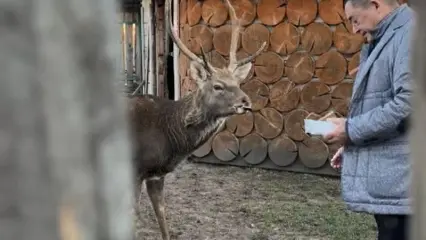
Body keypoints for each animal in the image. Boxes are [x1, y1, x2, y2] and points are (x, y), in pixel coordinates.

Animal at [128, 0, 266, 238]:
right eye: (218, 86)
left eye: (238, 83)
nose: (246, 102)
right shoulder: (135, 170)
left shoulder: (156, 175)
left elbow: (162, 215)